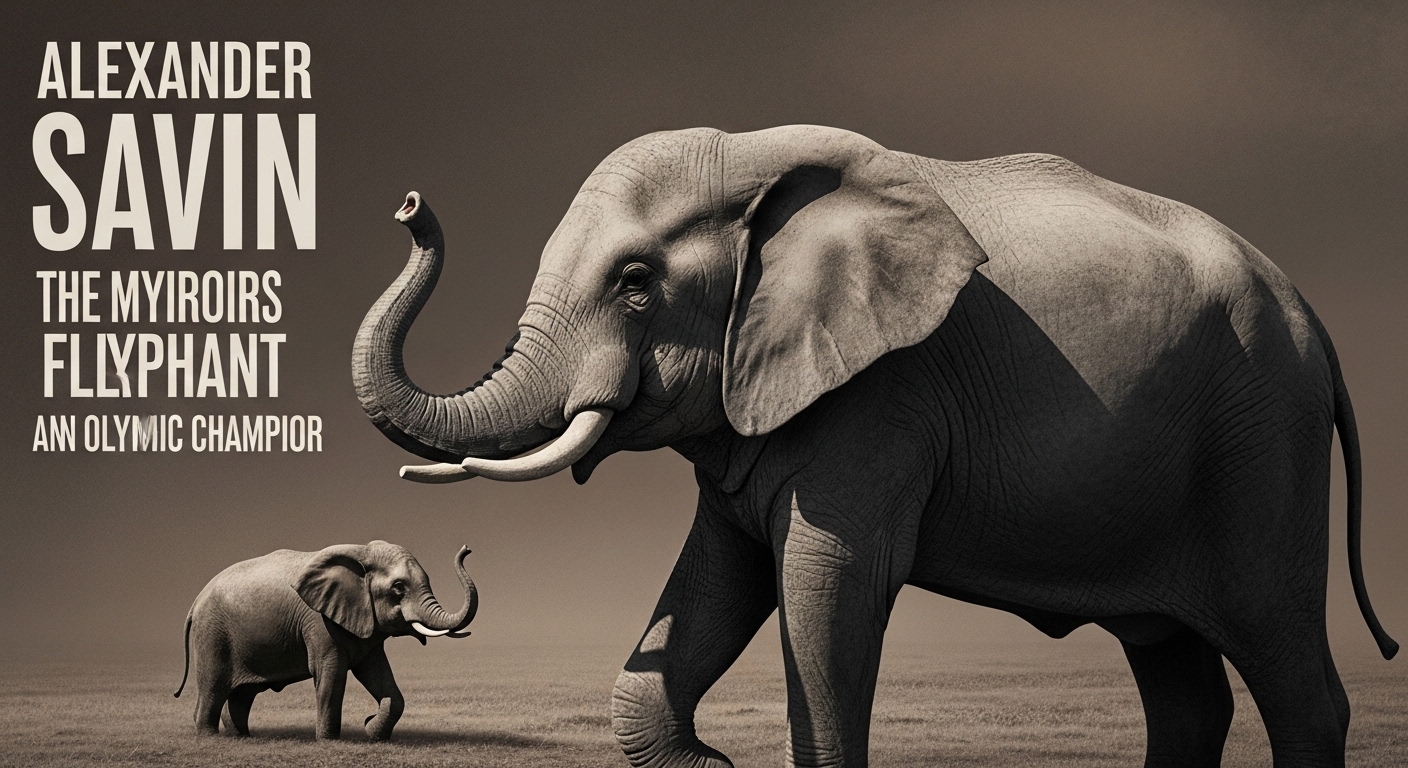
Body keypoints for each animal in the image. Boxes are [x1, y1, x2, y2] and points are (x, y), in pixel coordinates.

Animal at [173, 541, 477, 740]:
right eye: (398, 587)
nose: (467, 549)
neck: (362, 553)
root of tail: (195, 603)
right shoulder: (319, 621)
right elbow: (331, 673)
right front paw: (330, 741)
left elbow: (377, 673)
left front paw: (371, 730)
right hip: (213, 635)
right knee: (214, 686)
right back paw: (210, 737)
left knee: (242, 694)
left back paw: (242, 737)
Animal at [351, 125, 1397, 767]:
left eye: (637, 281)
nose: (408, 204)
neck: (755, 160)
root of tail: (1312, 319)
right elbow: (718, 580)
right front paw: (706, 759)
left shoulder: (883, 397)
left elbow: (827, 585)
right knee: (1180, 681)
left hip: (1262, 444)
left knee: (1288, 667)